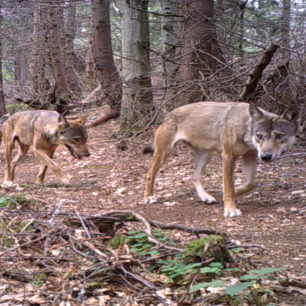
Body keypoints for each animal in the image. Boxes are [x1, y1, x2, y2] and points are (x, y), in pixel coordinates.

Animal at [144, 103, 298, 218]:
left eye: (280, 135)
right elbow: (229, 186)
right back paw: (149, 197)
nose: (266, 156)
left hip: (206, 156)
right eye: (259, 136)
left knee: (194, 177)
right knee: (149, 174)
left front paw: (235, 192)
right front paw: (231, 209)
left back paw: (206, 197)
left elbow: (250, 184)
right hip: (164, 154)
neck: (245, 127)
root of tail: (168, 114)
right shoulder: (228, 156)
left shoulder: (250, 155)